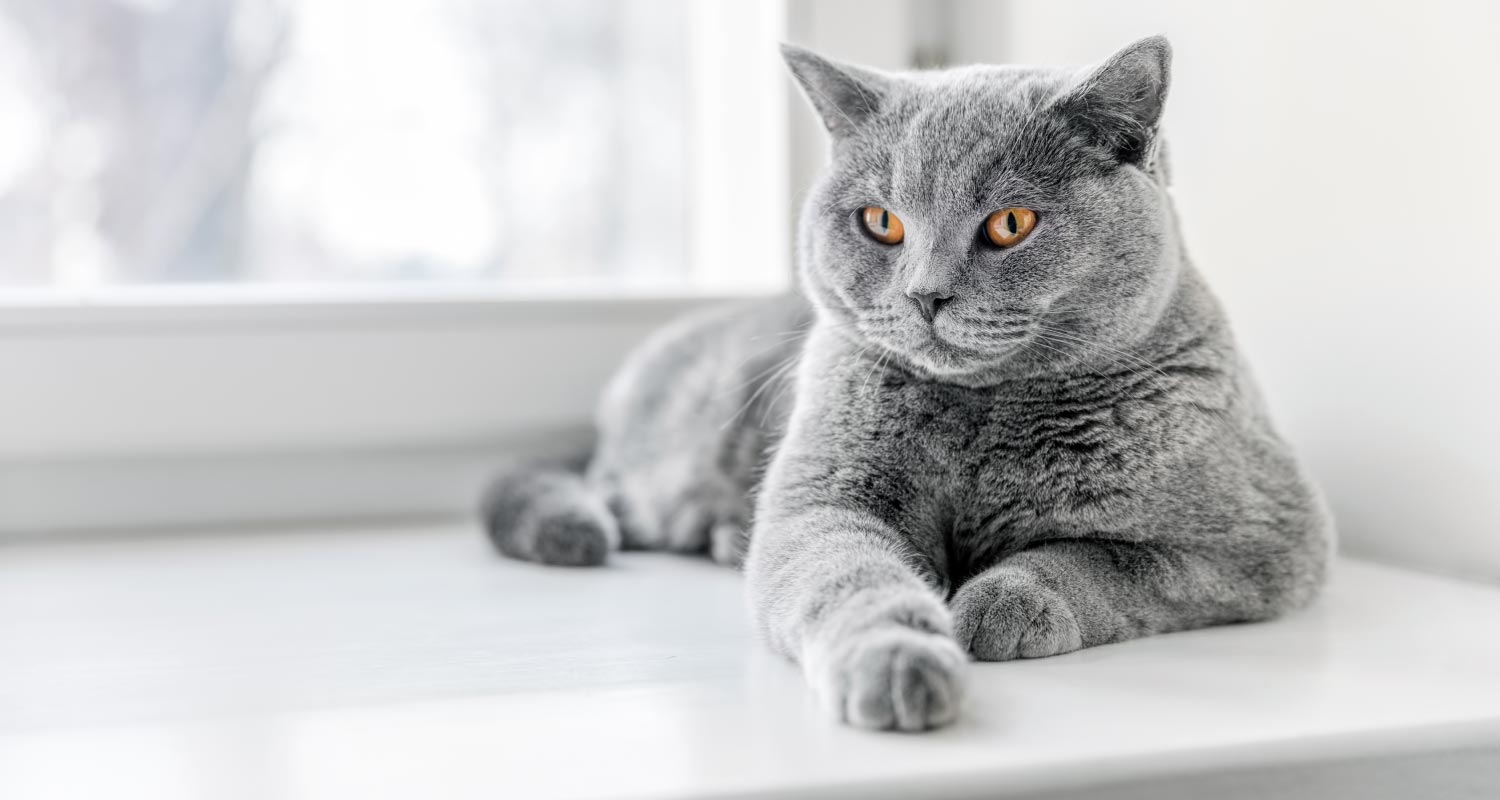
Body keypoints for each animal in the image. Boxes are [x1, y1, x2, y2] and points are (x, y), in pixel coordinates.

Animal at [486, 35, 1332, 729]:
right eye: (881, 222)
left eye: (1012, 224)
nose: (926, 294)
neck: (985, 420)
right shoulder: (822, 502)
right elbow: (849, 578)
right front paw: (900, 662)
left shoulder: (1263, 544)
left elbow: (1106, 558)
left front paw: (999, 602)